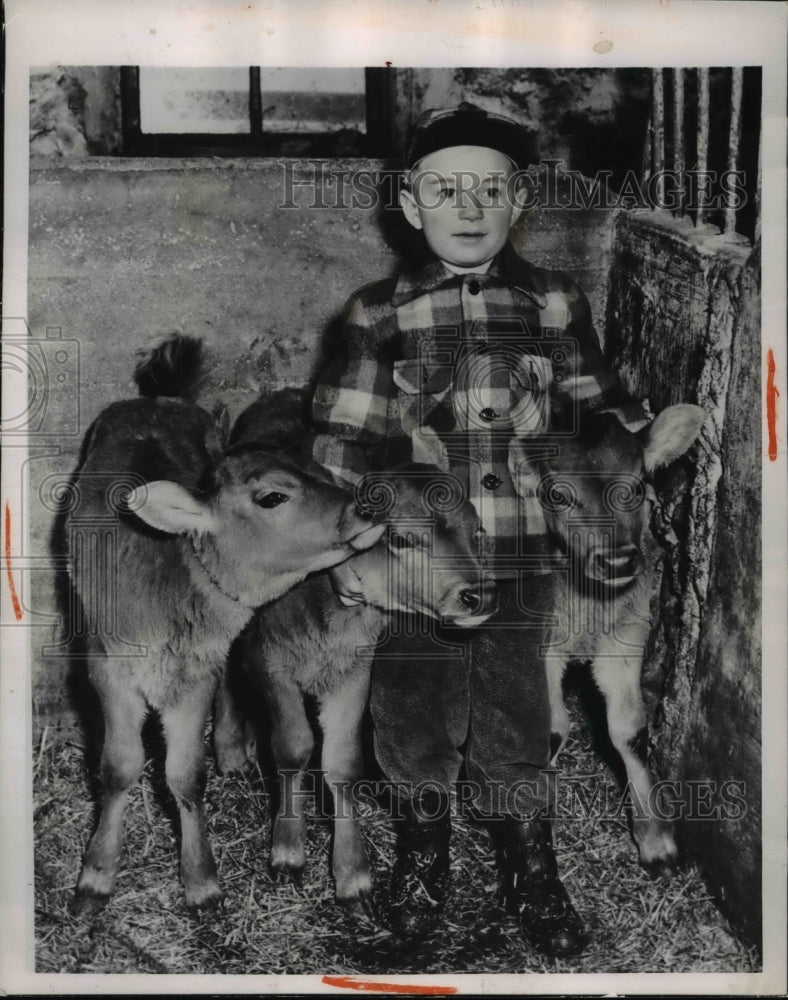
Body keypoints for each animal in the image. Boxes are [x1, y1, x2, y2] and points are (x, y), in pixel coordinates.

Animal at [69, 338, 384, 916]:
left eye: (326, 474)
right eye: (272, 496)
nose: (365, 505)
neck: (169, 581)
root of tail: (158, 398)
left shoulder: (196, 673)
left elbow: (185, 775)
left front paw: (201, 881)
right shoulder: (107, 668)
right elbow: (120, 767)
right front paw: (96, 876)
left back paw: (234, 749)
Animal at [214, 392, 498, 920]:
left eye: (478, 531)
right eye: (403, 538)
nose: (480, 595)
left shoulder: (356, 670)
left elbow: (341, 761)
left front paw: (352, 874)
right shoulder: (271, 657)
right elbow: (293, 747)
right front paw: (288, 848)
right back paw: (229, 746)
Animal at [516, 402, 704, 872]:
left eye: (636, 487)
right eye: (557, 495)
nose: (617, 561)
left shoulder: (626, 635)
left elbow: (629, 731)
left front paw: (656, 839)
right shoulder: (539, 643)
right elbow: (551, 727)